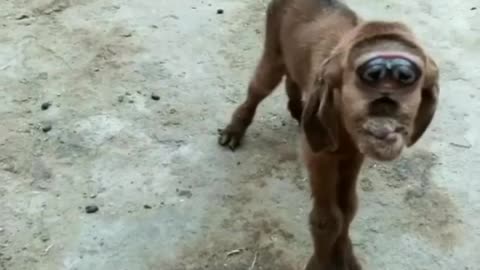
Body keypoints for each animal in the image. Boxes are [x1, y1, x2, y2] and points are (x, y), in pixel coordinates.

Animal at [218, 1, 438, 268]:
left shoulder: (354, 156)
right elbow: (327, 219)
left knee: (293, 78)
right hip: (273, 52)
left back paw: (297, 109)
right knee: (257, 88)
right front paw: (321, 263)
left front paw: (347, 258)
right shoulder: (318, 156)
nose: (385, 115)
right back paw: (233, 131)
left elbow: (348, 208)